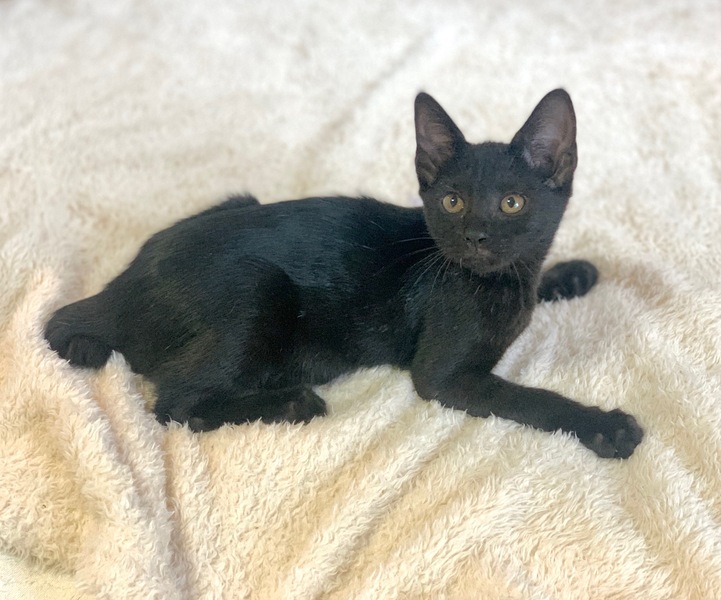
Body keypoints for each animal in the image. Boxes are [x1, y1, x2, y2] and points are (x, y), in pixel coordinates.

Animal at [45, 89, 643, 459]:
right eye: (451, 201)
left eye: (513, 203)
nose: (475, 236)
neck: (495, 285)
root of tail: (118, 289)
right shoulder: (443, 377)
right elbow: (528, 399)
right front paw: (604, 425)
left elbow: (538, 276)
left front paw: (571, 274)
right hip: (256, 293)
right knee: (174, 404)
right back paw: (291, 402)